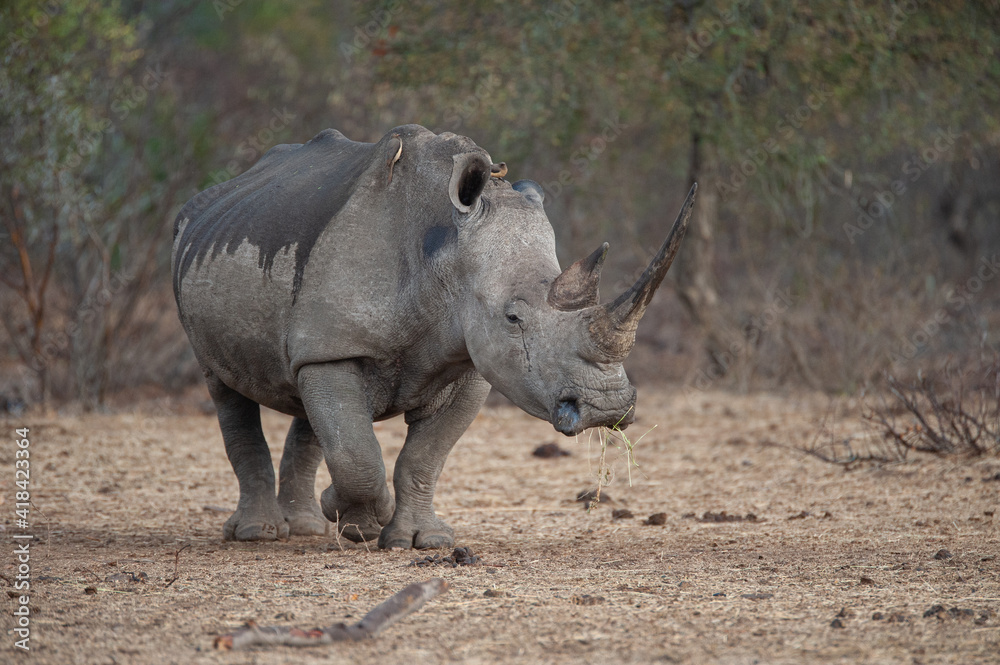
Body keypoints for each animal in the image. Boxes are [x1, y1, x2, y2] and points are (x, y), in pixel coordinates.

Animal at [172, 124, 695, 549]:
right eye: (512, 318)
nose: (608, 408)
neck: (446, 261)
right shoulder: (338, 348)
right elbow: (359, 455)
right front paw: (358, 519)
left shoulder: (471, 367)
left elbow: (423, 457)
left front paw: (422, 540)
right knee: (227, 387)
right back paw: (260, 533)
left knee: (305, 390)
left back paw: (307, 528)